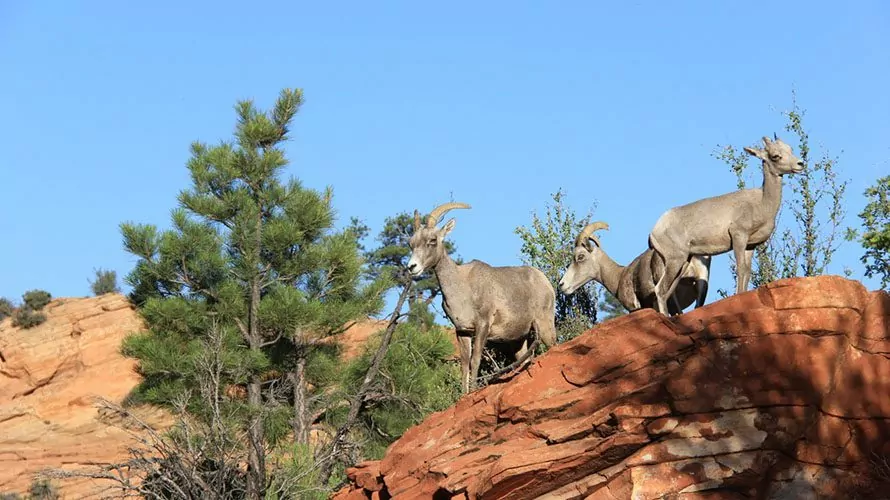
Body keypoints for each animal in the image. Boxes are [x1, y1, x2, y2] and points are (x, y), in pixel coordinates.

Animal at [404, 201, 556, 392]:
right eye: (411, 243)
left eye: (432, 240)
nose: (412, 267)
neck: (462, 289)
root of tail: (545, 282)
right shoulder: (463, 331)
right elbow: (464, 365)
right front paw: (463, 394)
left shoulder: (483, 326)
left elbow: (475, 360)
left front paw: (474, 390)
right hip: (519, 340)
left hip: (545, 327)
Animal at [644, 135, 804, 314]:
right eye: (775, 156)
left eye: (790, 149)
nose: (800, 164)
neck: (762, 203)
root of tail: (654, 231)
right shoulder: (738, 237)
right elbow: (741, 268)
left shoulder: (750, 246)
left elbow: (747, 271)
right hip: (676, 260)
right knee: (660, 289)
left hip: (682, 262)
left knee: (667, 291)